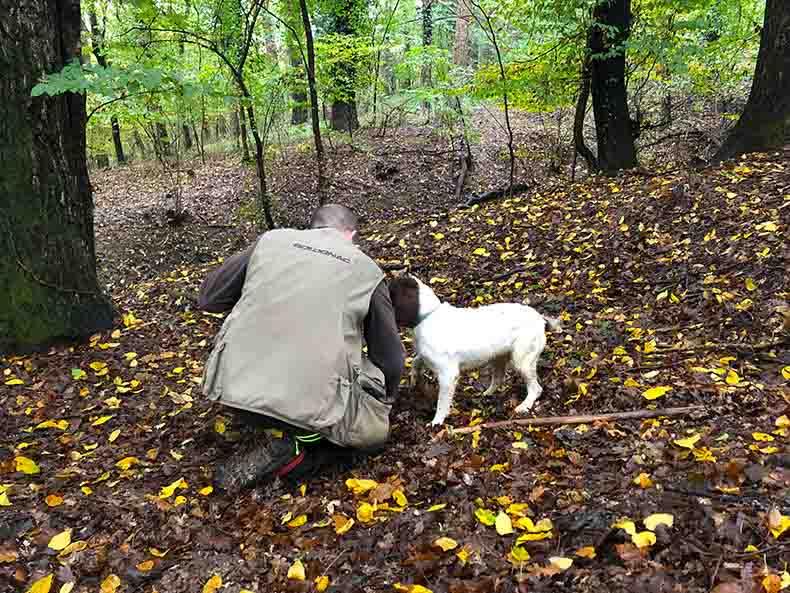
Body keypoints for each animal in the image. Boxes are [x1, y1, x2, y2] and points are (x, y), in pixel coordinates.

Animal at [390, 272, 564, 426]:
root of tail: (540, 319)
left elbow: (442, 403)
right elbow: (415, 361)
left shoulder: (448, 374)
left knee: (536, 388)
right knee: (499, 379)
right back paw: (487, 394)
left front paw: (436, 422)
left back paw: (524, 406)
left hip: (521, 361)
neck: (428, 316)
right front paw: (413, 379)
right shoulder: (426, 356)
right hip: (499, 357)